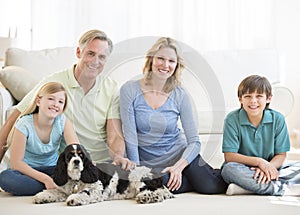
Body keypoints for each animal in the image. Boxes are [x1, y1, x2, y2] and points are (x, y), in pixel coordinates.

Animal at [32, 144, 173, 206]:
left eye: (81, 155)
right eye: (69, 155)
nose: (76, 161)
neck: (77, 179)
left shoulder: (96, 189)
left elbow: (85, 192)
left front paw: (74, 198)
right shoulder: (64, 190)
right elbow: (55, 192)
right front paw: (41, 196)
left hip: (137, 176)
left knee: (157, 192)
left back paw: (148, 197)